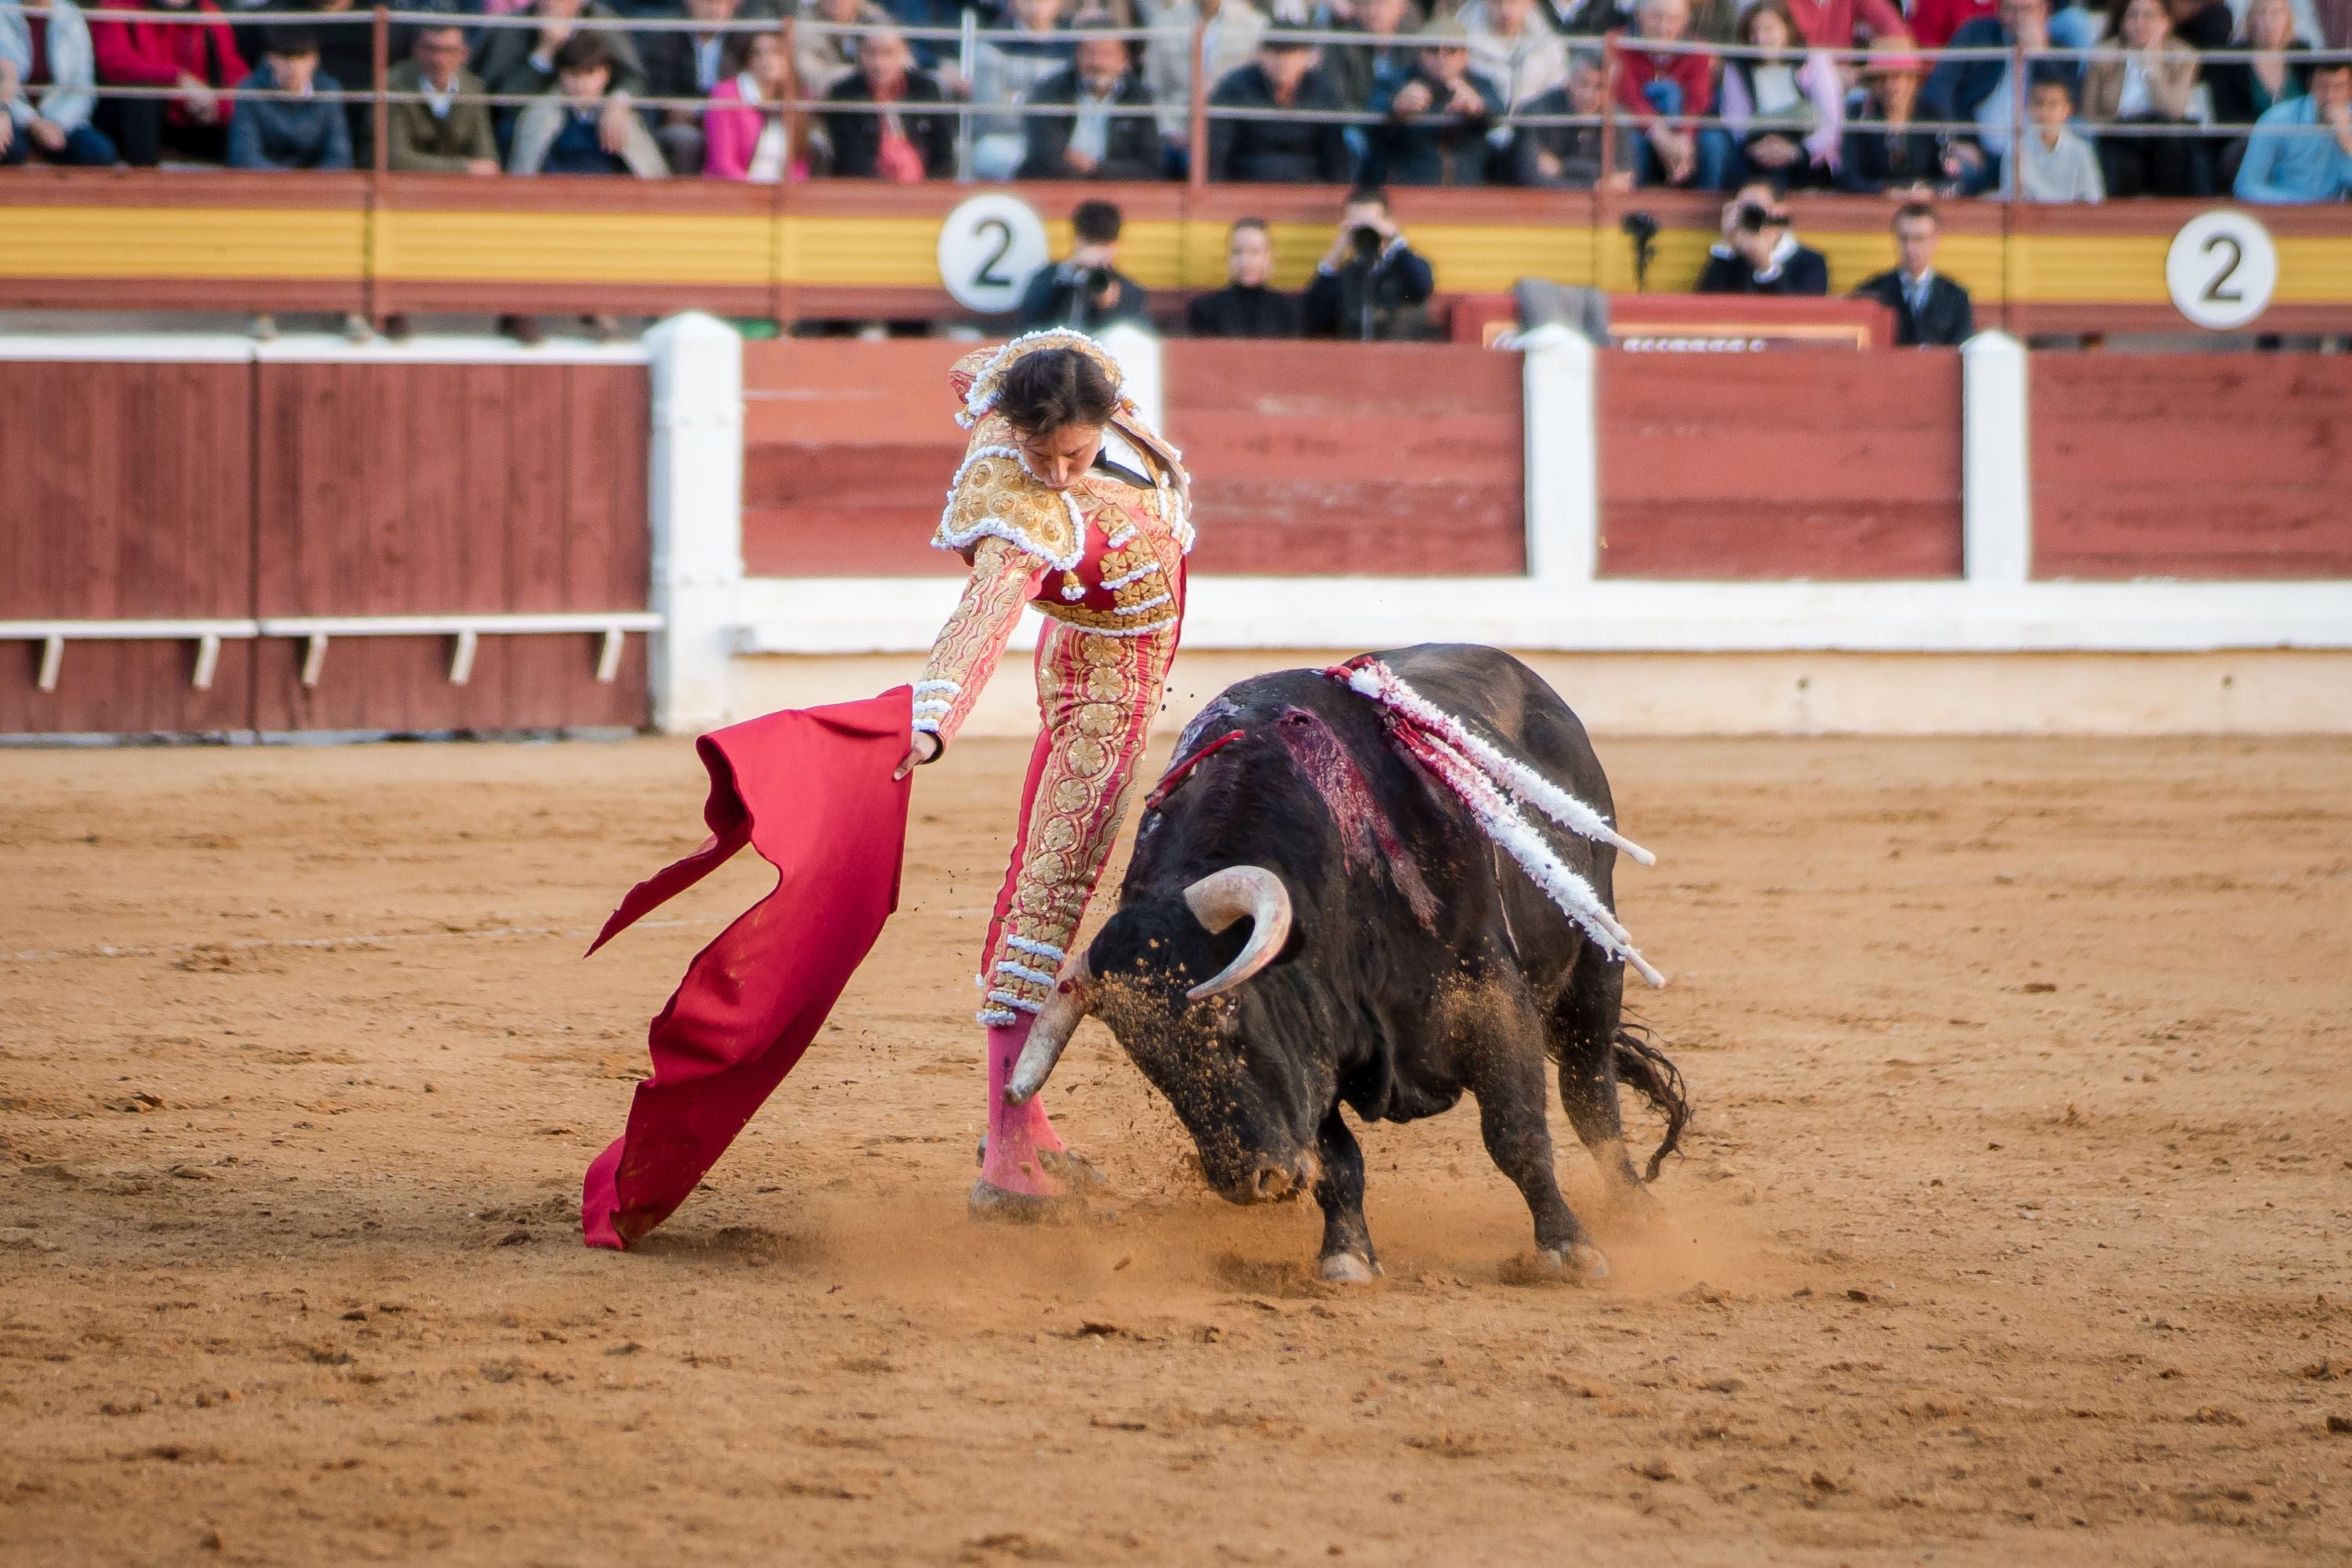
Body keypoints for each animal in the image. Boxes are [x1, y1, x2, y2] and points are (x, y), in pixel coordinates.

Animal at [1011, 648, 1693, 1288]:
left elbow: (1517, 1133)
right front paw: (1346, 1256)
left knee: (1590, 1091)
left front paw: (1567, 1248)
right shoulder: (1314, 1050)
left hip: (1596, 959)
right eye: (1151, 1064)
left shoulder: (1492, 1000)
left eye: (1229, 1021)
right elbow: (1338, 1160)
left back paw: (1637, 1212)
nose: (1251, 1181)